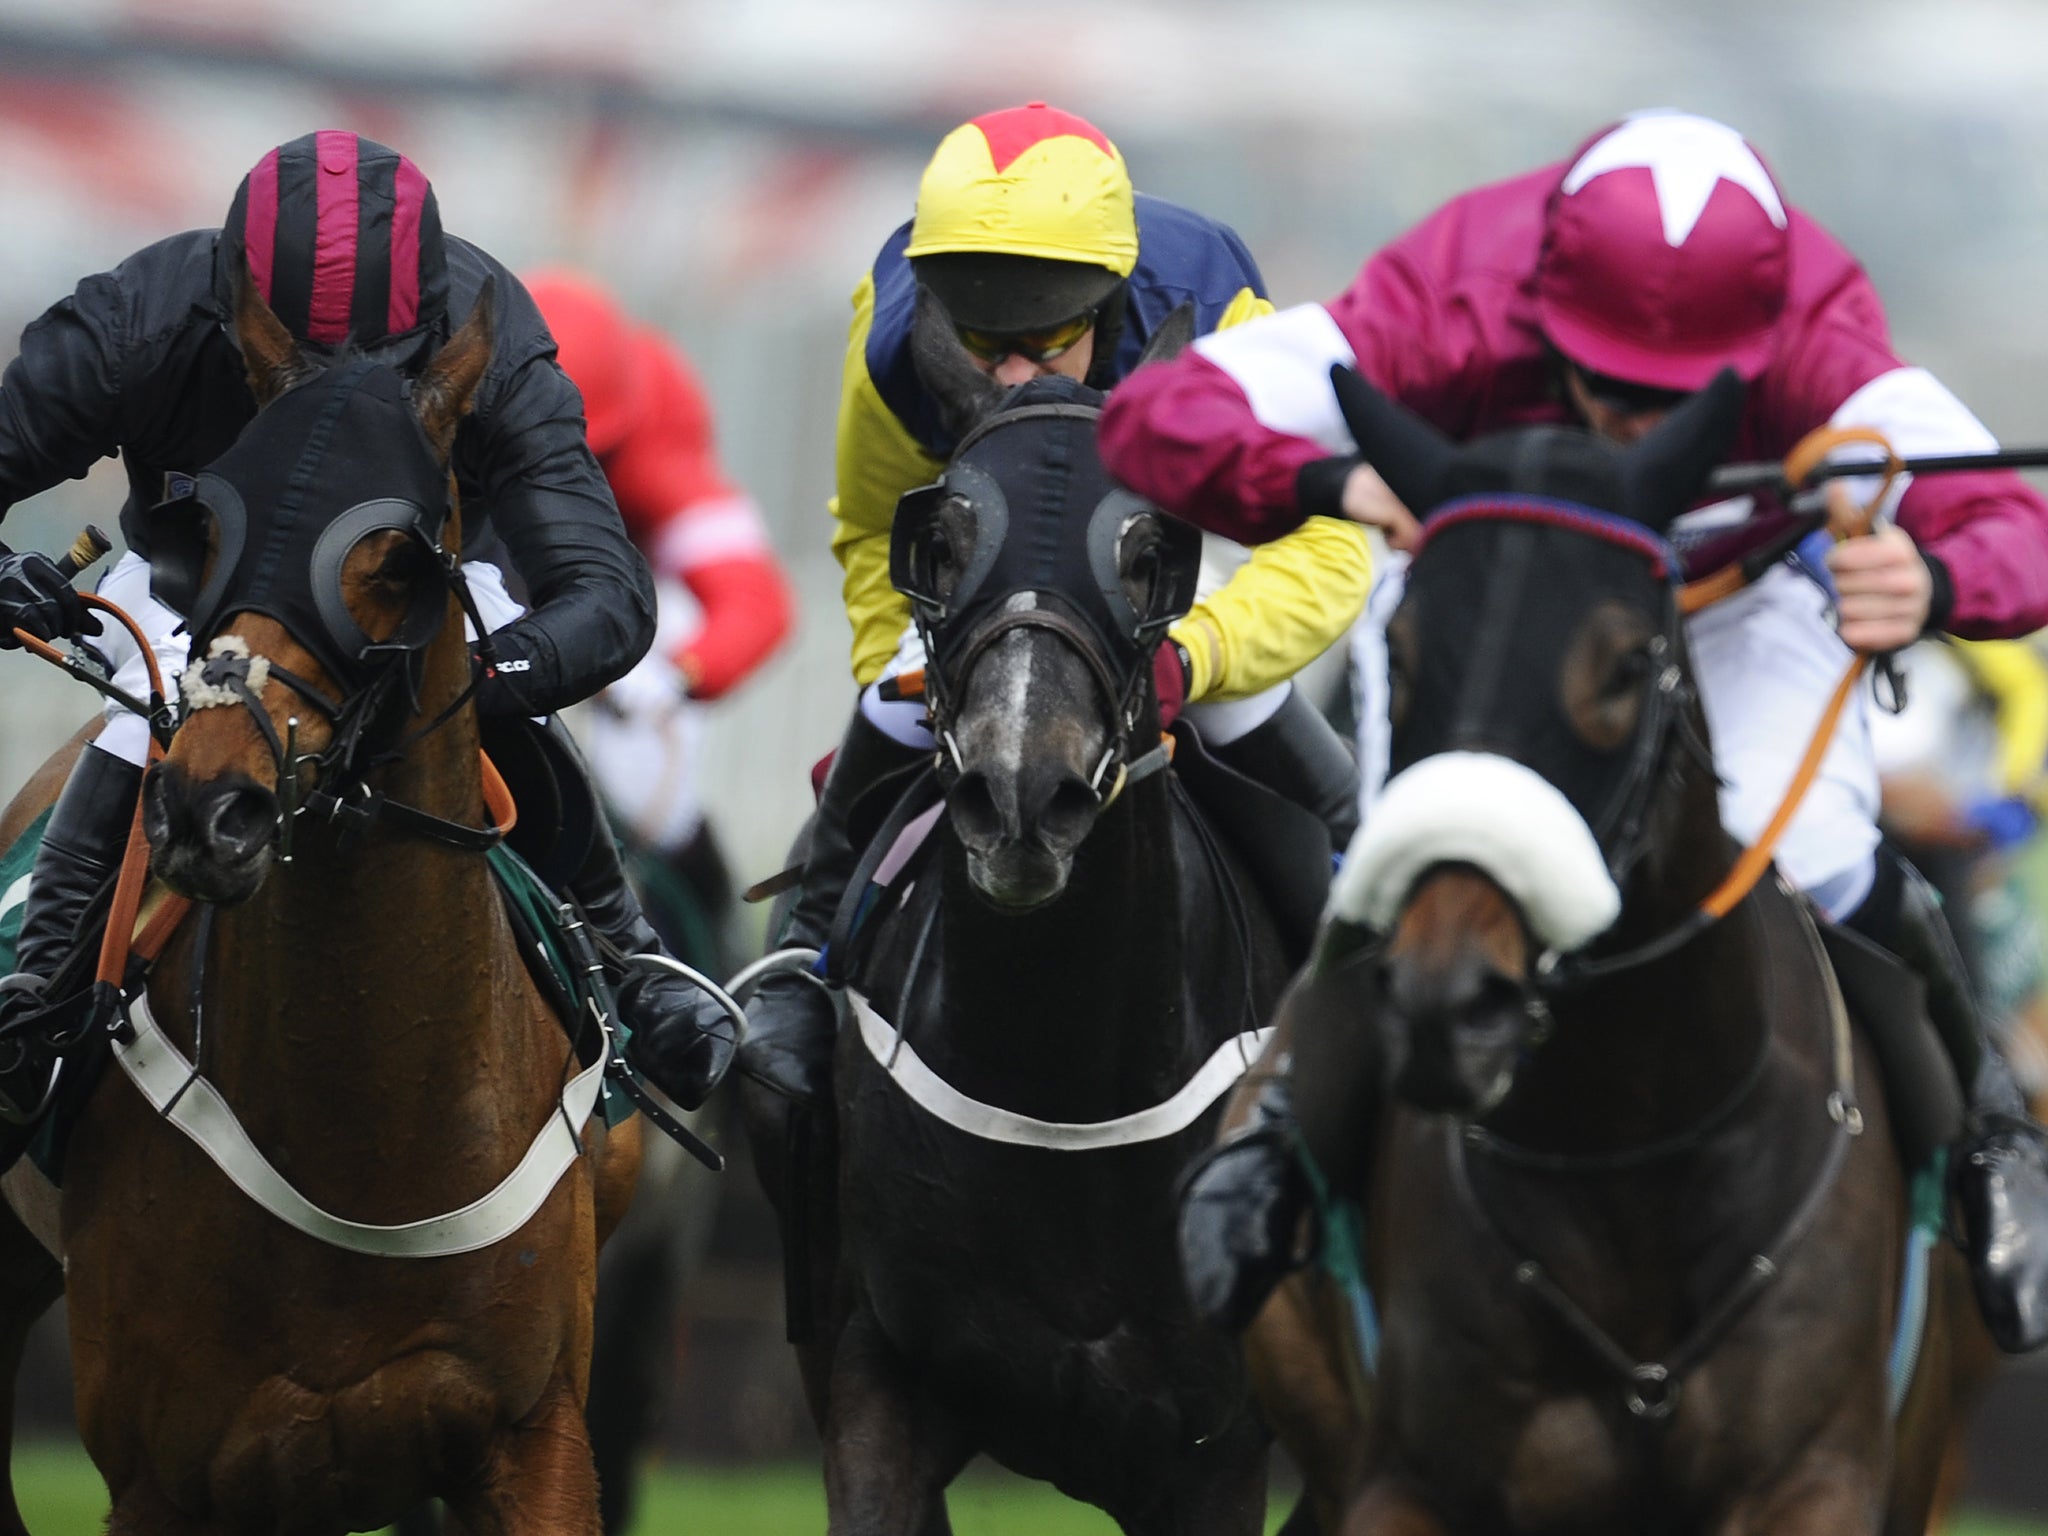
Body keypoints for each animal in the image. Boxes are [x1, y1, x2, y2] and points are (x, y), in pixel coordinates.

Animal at [0, 270, 638, 1531]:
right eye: (207, 530)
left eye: (394, 560)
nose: (209, 809)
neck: (371, 1132)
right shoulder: (163, 1476)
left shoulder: (533, 1439)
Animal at [753, 333, 1294, 1531]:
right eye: (945, 541)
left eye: (1149, 552)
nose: (1018, 795)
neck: (1062, 1074)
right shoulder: (875, 1384)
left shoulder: (1217, 1455)